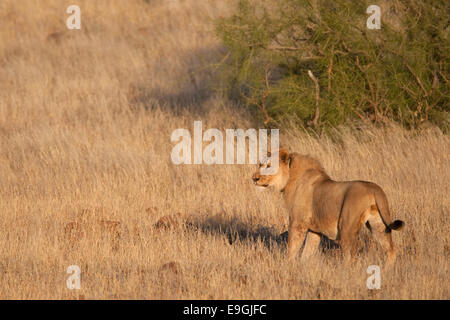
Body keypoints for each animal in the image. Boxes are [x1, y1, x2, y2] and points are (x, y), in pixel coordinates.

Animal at [253, 149, 404, 264]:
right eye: (260, 164)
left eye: (269, 166)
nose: (254, 178)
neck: (290, 178)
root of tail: (374, 188)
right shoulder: (314, 230)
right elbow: (307, 253)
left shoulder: (298, 223)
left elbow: (292, 248)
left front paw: (288, 265)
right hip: (378, 226)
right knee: (391, 249)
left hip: (347, 227)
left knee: (350, 256)